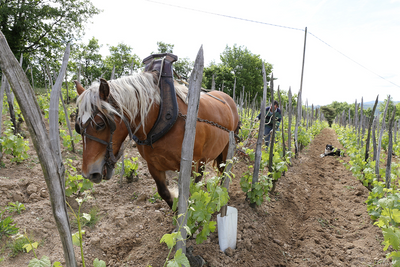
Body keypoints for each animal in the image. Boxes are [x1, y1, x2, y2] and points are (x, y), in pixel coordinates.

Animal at [73, 70, 239, 208]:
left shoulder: (190, 165)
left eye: (100, 124)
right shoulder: (153, 164)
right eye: (78, 127)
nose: (88, 174)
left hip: (227, 149)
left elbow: (188, 194)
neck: (160, 119)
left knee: (224, 172)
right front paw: (175, 210)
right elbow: (163, 192)